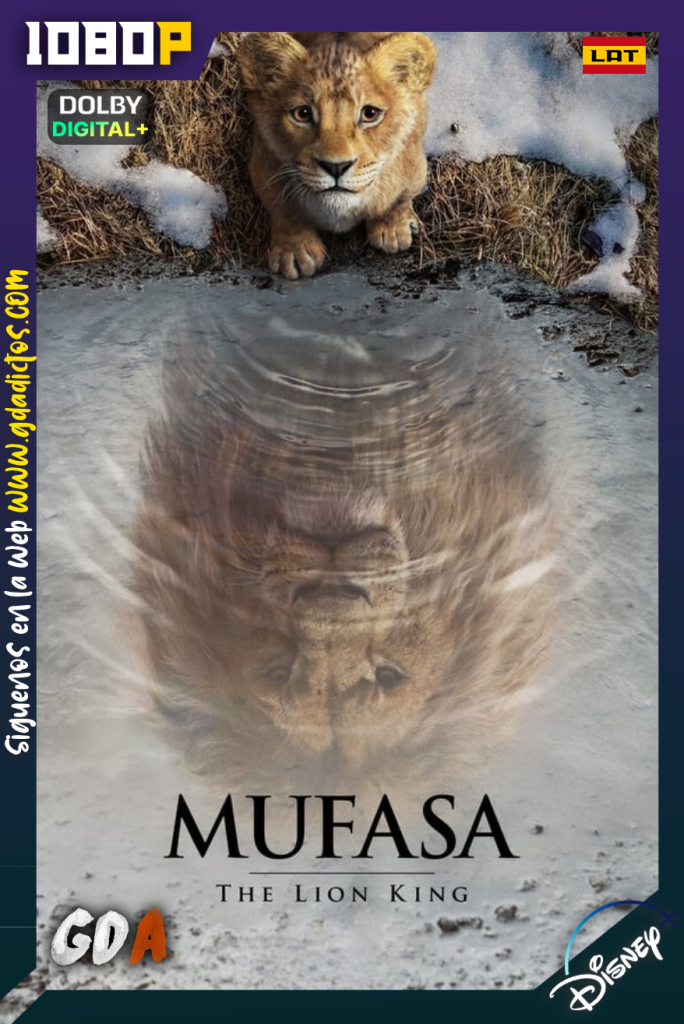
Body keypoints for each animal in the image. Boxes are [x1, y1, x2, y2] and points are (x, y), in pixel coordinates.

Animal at [237, 32, 437, 279]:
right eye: (302, 114)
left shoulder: (415, 167)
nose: (336, 167)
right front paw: (294, 252)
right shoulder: (263, 166)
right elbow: (283, 209)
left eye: (370, 114)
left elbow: (399, 199)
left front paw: (393, 229)